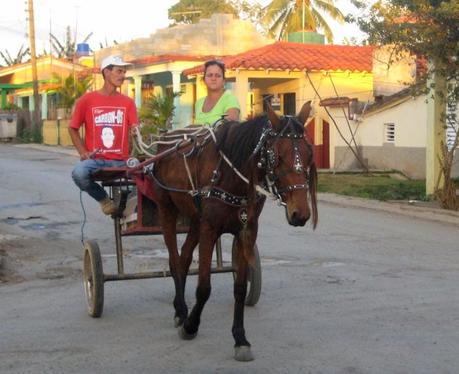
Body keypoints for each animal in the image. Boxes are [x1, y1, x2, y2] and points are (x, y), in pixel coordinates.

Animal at [149, 101, 318, 360]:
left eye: (309, 154)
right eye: (277, 156)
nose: (300, 214)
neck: (230, 175)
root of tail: (166, 140)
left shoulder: (246, 231)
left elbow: (239, 288)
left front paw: (240, 338)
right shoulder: (209, 229)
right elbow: (204, 287)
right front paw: (191, 326)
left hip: (195, 219)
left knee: (185, 257)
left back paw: (181, 308)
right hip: (167, 209)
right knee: (174, 260)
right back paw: (181, 311)